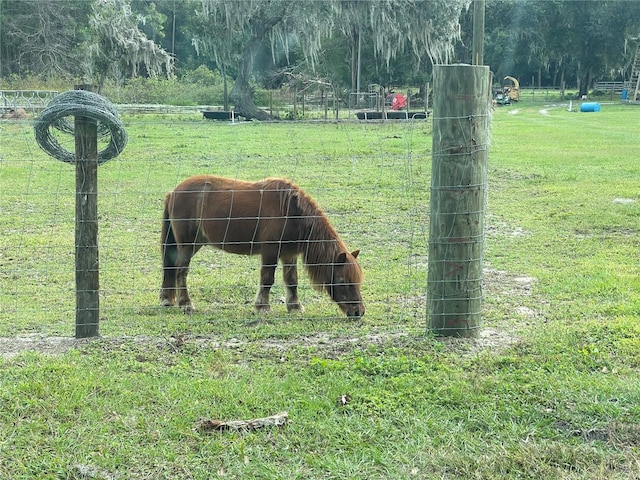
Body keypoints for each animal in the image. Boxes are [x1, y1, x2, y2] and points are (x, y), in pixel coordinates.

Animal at [160, 175, 364, 318]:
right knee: (181, 271)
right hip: (188, 245)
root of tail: (173, 193)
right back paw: (186, 304)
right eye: (342, 281)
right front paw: (263, 307)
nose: (359, 312)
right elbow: (267, 279)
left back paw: (167, 299)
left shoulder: (289, 254)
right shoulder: (270, 251)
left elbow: (292, 280)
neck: (291, 213)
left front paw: (295, 306)